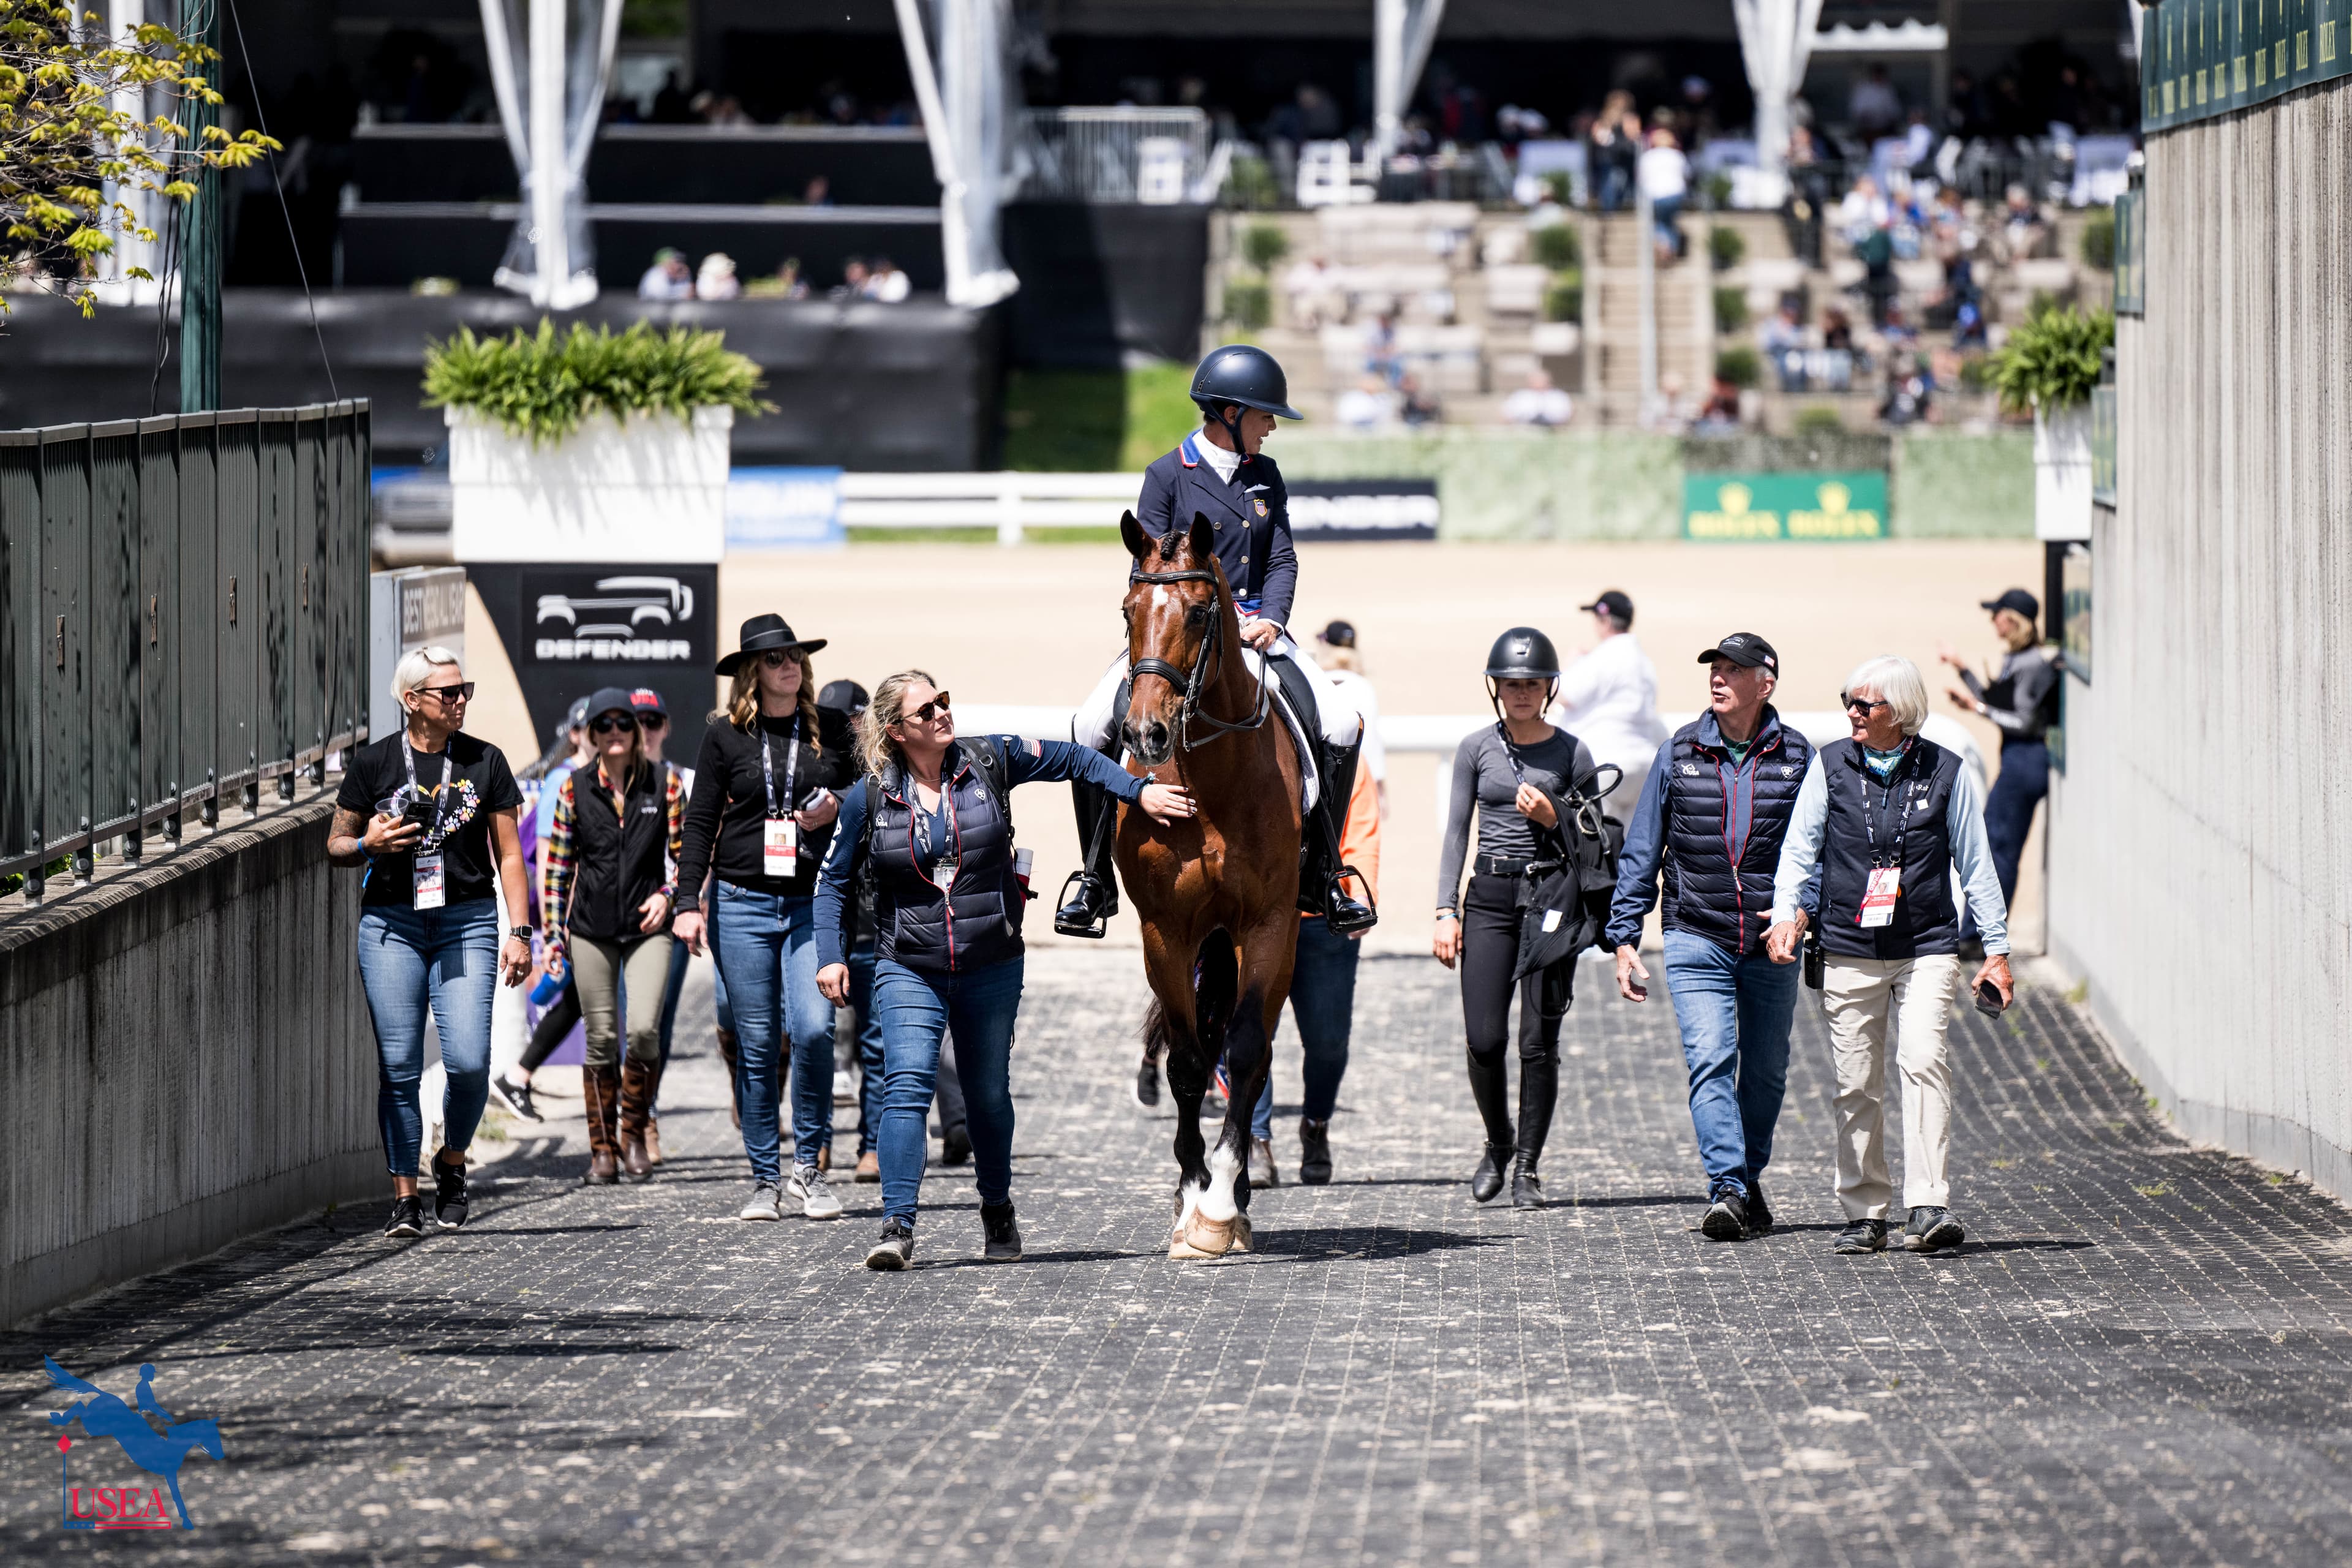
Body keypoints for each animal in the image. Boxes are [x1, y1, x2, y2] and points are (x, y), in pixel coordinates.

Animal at [1114, 509, 1303, 1260]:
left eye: (1199, 613)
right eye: (1128, 611)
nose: (1146, 733)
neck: (1215, 779)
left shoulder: (1271, 924)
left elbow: (1247, 1049)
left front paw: (1221, 1202)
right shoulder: (1165, 931)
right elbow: (1190, 1063)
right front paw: (1192, 1198)